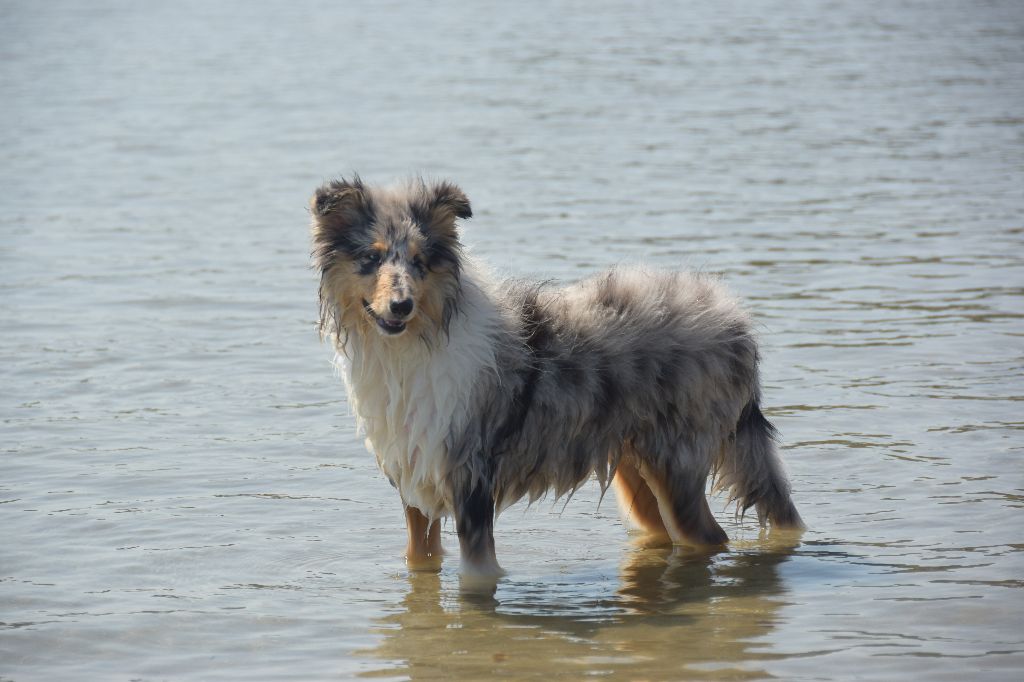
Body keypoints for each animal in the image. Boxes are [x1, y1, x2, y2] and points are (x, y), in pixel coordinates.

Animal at [307, 175, 802, 573]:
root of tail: (734, 317)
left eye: (420, 261)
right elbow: (420, 559)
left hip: (678, 468)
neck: (410, 348)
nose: (401, 306)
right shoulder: (416, 488)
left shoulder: (472, 487)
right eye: (371, 258)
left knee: (712, 538)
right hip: (638, 475)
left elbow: (477, 576)